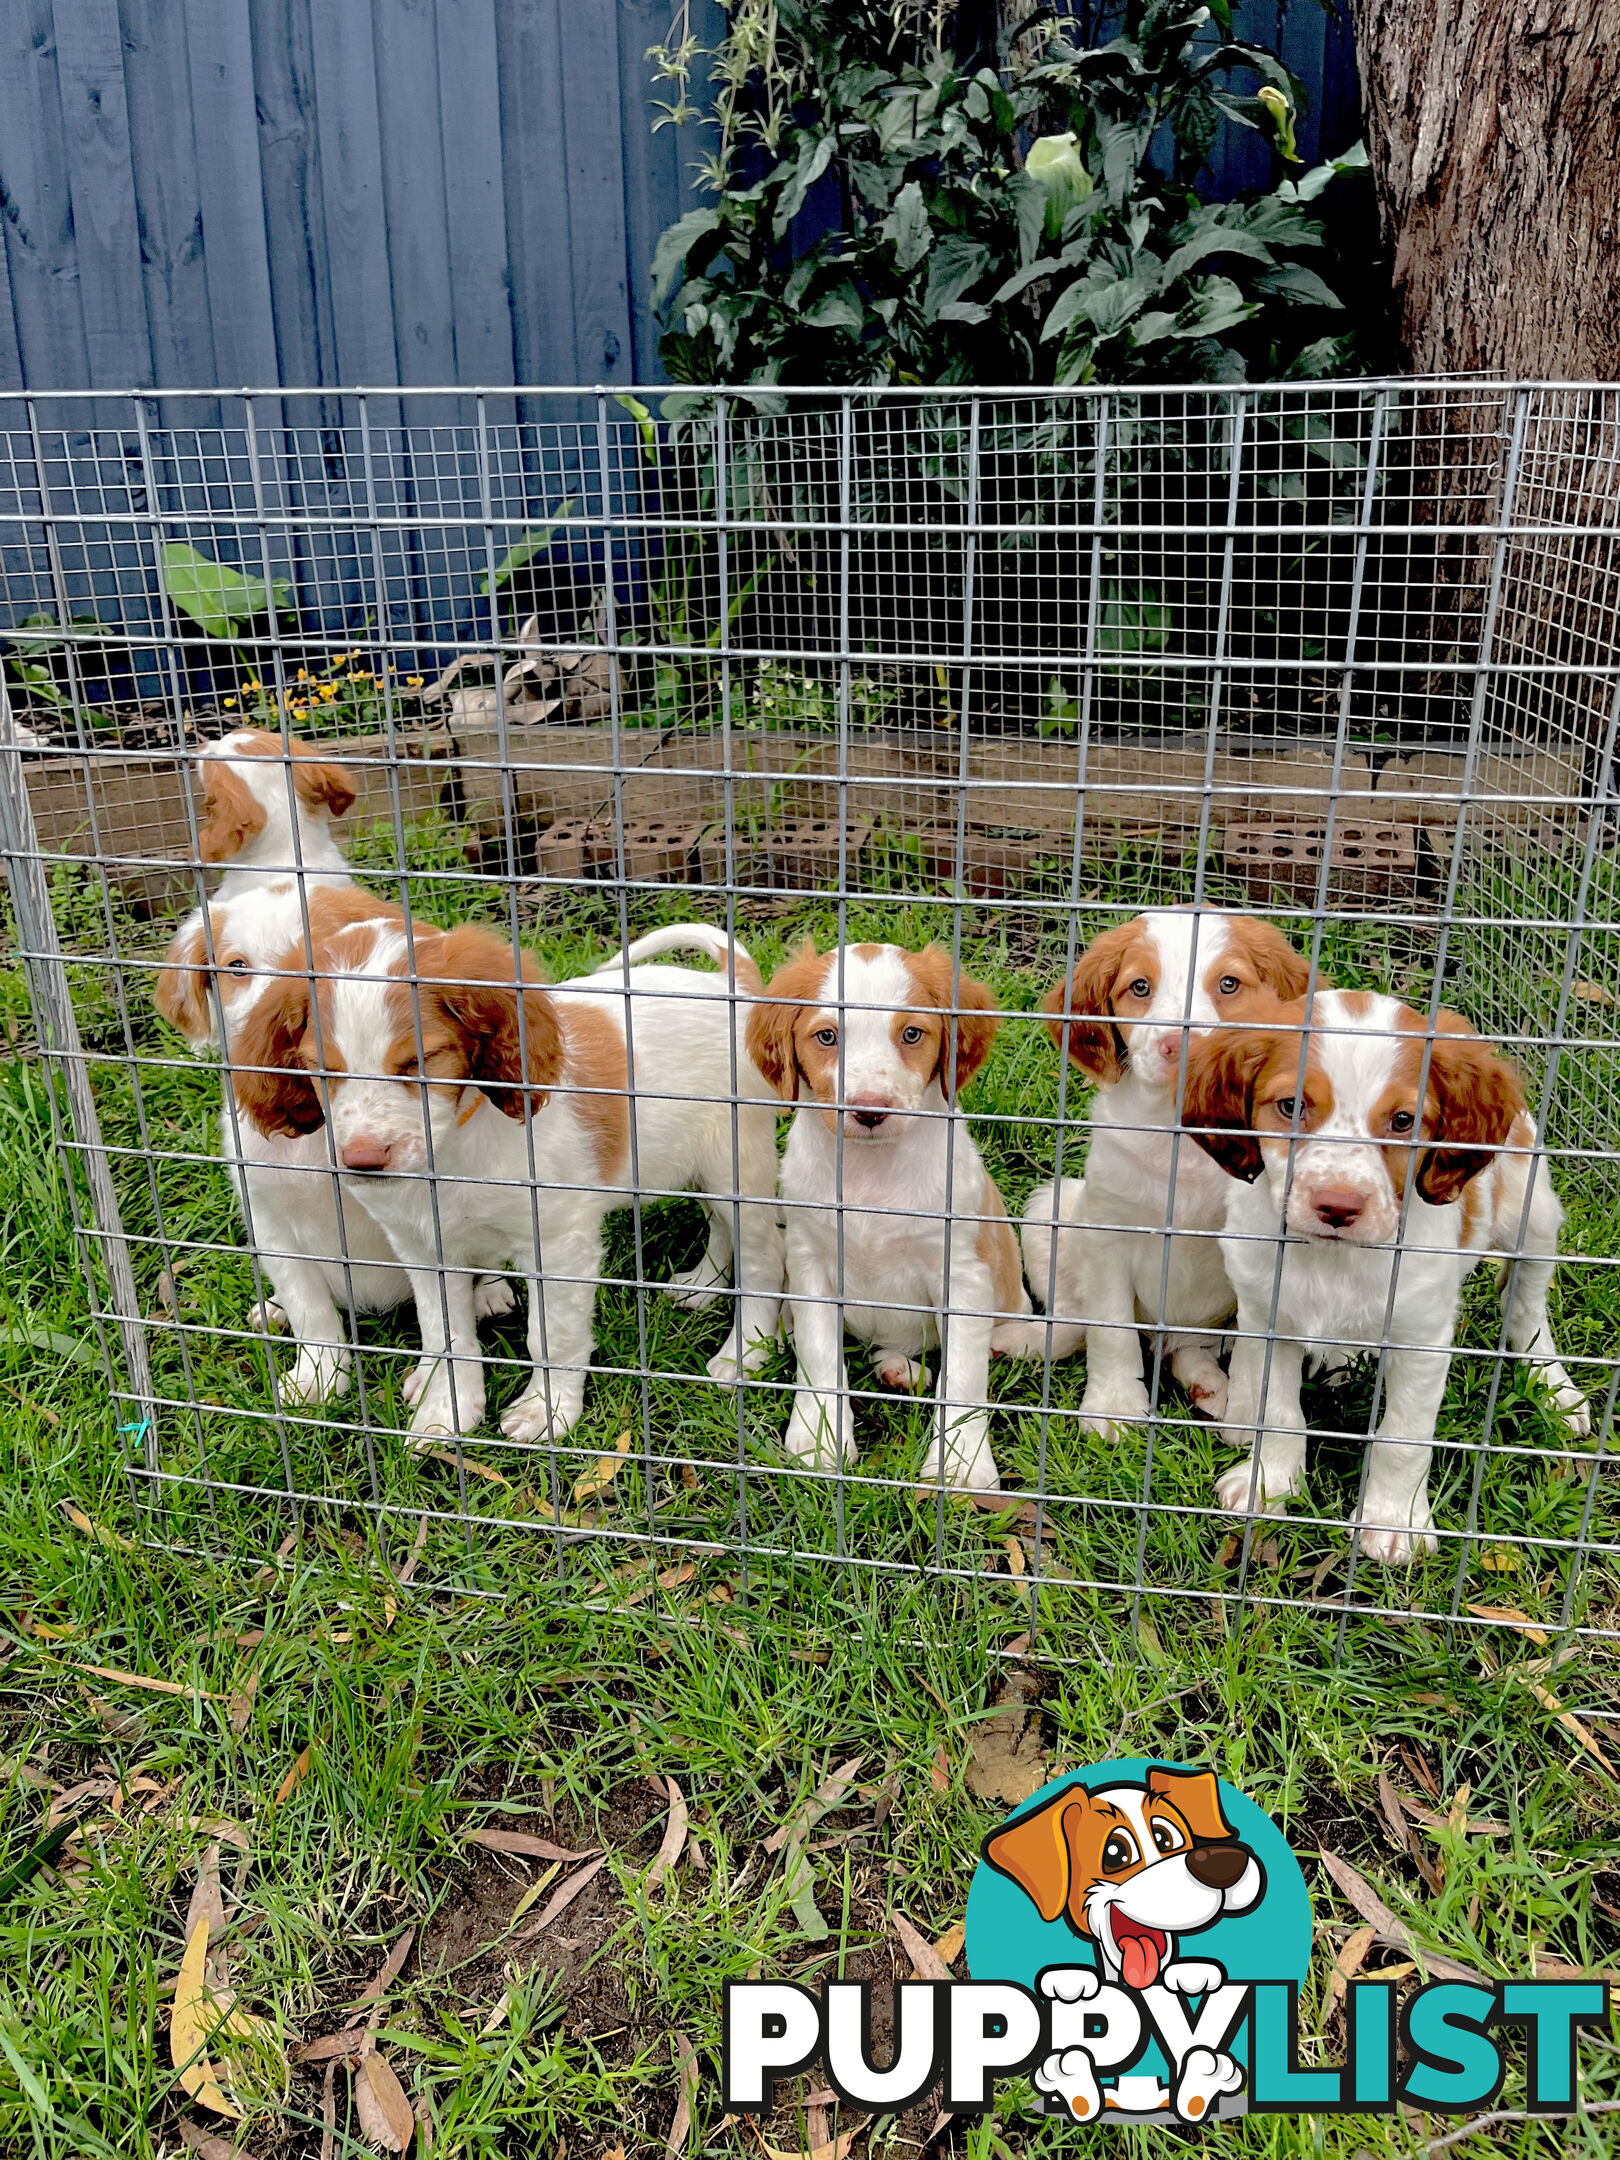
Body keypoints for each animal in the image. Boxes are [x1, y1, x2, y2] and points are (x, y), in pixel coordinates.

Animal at [230, 915, 786, 1442]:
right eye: (319, 1068)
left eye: (419, 1062)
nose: (362, 1161)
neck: (452, 1151)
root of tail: (733, 986)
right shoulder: (423, 1249)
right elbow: (444, 1334)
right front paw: (446, 1412)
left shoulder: (558, 1246)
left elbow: (550, 1336)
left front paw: (547, 1411)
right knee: (720, 1227)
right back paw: (704, 1285)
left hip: (736, 1164)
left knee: (763, 1259)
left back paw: (744, 1352)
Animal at [747, 937, 1028, 1494]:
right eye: (827, 1036)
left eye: (912, 1034)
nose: (870, 1110)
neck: (871, 1170)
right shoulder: (810, 1262)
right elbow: (818, 1353)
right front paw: (818, 1442)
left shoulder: (965, 1275)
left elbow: (963, 1378)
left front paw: (961, 1467)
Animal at [989, 911, 1321, 1434]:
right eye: (1139, 987)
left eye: (1229, 983)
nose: (1178, 1046)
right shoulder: (1107, 1234)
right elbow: (1111, 1330)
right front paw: (1114, 1406)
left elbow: (1256, 1348)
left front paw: (1251, 1415)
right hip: (1051, 1212)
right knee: (1076, 1323)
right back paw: (1024, 1342)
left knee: (1192, 1348)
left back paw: (1213, 1388)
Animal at [1183, 989, 1589, 1563]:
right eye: (1291, 1107)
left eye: (1402, 1120)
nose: (1337, 1206)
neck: (1334, 1260)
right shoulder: (1267, 1318)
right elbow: (1279, 1411)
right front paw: (1270, 1484)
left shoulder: (1422, 1340)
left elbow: (1403, 1437)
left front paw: (1393, 1521)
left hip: (1533, 1214)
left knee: (1527, 1302)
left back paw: (1554, 1385)